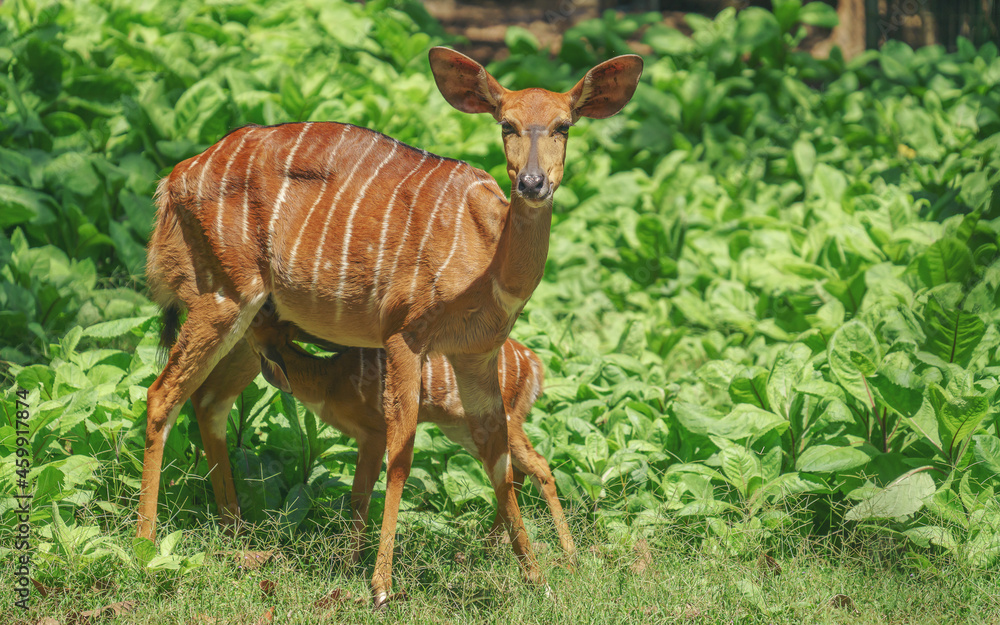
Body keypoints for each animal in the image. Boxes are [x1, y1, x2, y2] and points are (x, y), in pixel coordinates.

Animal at [242, 312, 580, 564]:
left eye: (257, 323)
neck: (330, 383)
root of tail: (537, 366)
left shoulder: (374, 432)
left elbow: (359, 496)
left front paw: (351, 563)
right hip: (463, 428)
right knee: (514, 471)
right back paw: (486, 549)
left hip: (506, 418)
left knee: (539, 466)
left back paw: (570, 556)